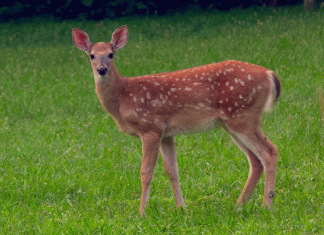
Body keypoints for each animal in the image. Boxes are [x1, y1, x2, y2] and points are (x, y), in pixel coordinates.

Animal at [72, 25, 280, 215]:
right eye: (91, 55)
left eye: (111, 54)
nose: (101, 70)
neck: (124, 97)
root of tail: (269, 74)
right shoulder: (166, 134)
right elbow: (172, 171)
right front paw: (182, 208)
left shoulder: (151, 128)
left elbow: (146, 172)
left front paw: (142, 212)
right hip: (232, 123)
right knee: (255, 160)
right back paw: (238, 205)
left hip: (243, 117)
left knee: (270, 152)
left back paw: (267, 205)